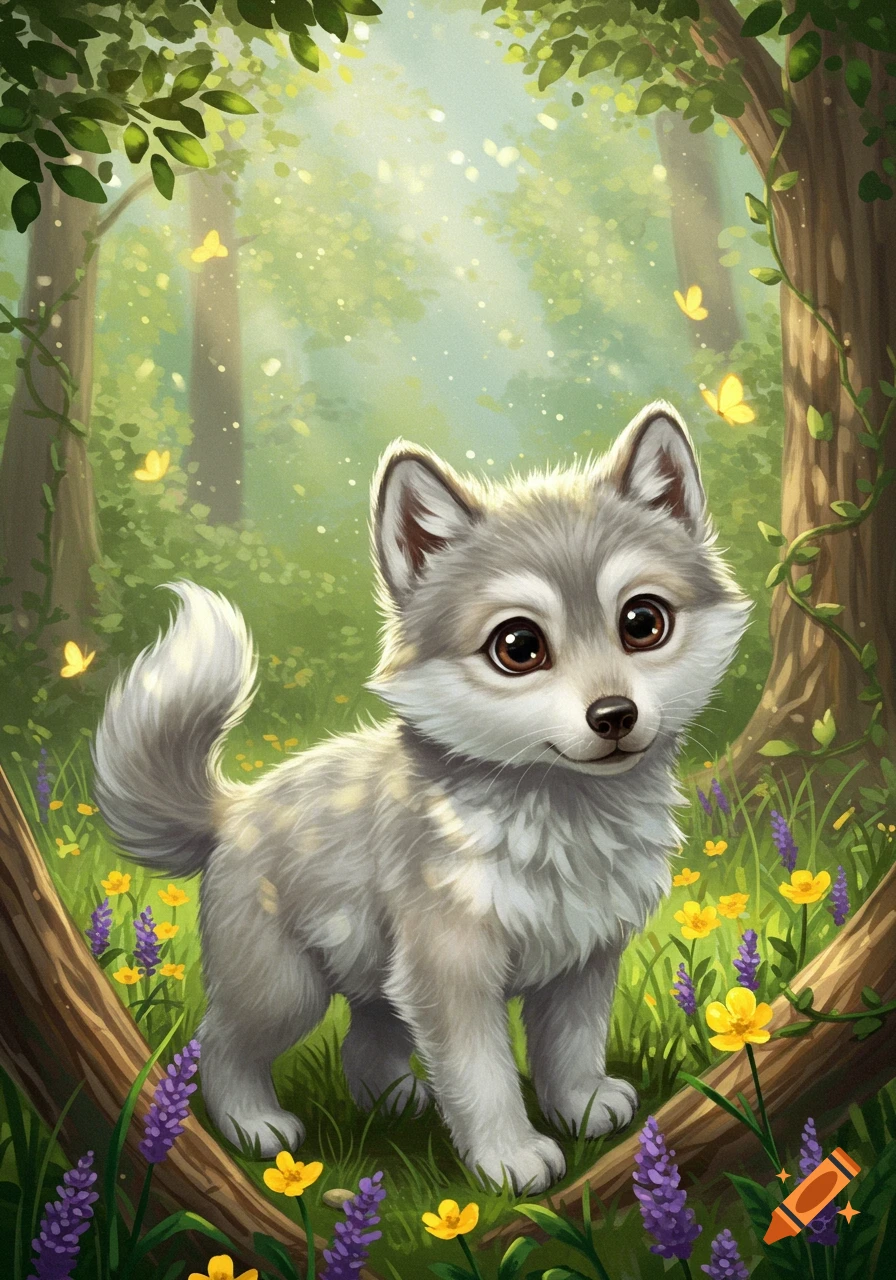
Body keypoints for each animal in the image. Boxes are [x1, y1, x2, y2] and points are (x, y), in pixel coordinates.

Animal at [93, 402, 749, 1193]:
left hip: (375, 976)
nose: (615, 715)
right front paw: (509, 1159)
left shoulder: (583, 962)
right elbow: (483, 1076)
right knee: (219, 1045)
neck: (562, 819)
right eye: (519, 647)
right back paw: (254, 1127)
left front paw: (581, 1106)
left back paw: (394, 1098)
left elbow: (569, 1048)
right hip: (283, 990)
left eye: (644, 623)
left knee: (364, 1042)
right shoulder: (451, 969)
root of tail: (233, 809)